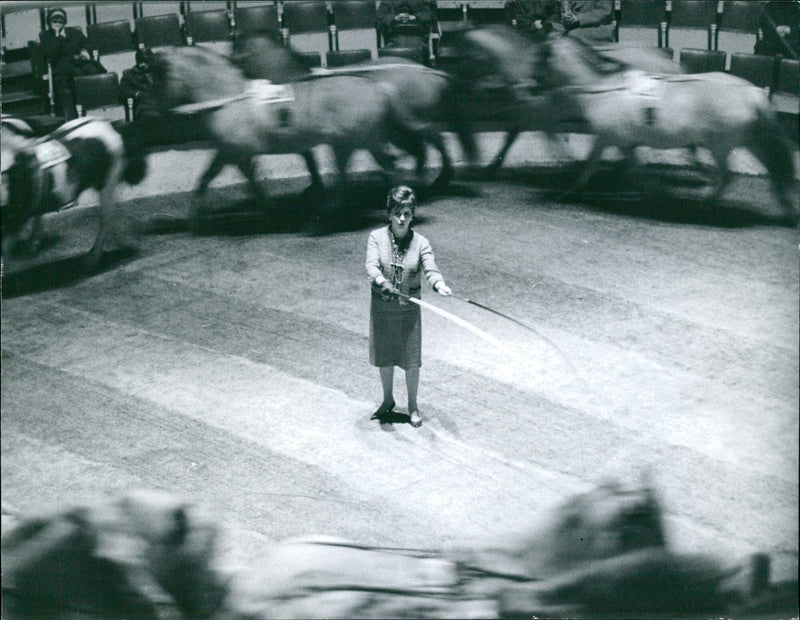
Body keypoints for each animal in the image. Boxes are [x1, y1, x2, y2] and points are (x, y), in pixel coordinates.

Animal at [536, 34, 800, 223]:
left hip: (720, 145)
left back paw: (706, 204)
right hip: (753, 141)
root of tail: (751, 93)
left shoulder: (616, 139)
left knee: (726, 177)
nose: (533, 86)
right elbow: (603, 166)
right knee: (771, 171)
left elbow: (622, 169)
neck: (604, 87)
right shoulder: (613, 140)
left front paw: (660, 193)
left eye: (542, 61)